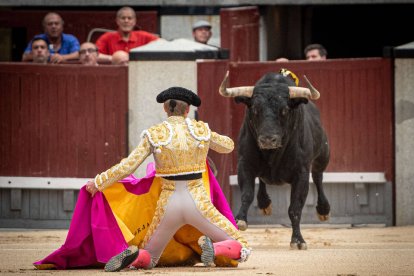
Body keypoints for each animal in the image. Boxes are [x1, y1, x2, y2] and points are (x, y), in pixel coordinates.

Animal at [220, 71, 330, 250]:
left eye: (284, 110)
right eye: (255, 109)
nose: (267, 139)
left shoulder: (301, 173)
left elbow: (295, 208)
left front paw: (298, 240)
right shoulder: (244, 165)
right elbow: (247, 194)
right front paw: (240, 220)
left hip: (323, 156)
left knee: (318, 177)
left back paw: (324, 210)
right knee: (262, 179)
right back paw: (264, 203)